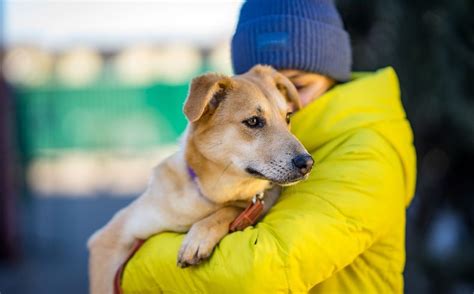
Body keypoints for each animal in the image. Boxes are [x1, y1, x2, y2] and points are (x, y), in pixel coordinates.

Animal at [88, 65, 314, 294]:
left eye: (288, 117)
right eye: (253, 121)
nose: (307, 163)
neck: (208, 195)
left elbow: (232, 208)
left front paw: (199, 238)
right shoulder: (108, 240)